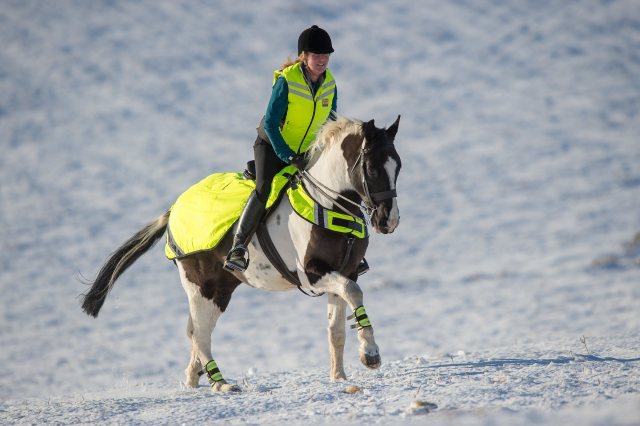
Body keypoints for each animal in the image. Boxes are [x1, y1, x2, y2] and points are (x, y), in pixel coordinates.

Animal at [80, 115, 400, 392]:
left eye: (398, 166)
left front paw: (339, 376)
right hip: (201, 286)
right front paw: (371, 354)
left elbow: (336, 328)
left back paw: (194, 378)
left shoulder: (344, 270)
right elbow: (354, 292)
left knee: (195, 331)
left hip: (221, 288)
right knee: (200, 333)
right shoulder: (312, 275)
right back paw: (220, 383)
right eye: (372, 169)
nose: (389, 220)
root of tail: (173, 210)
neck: (326, 202)